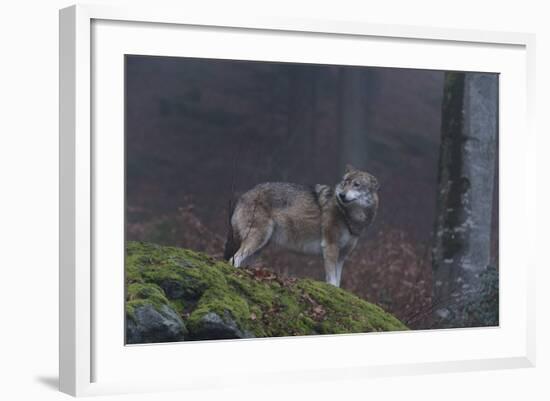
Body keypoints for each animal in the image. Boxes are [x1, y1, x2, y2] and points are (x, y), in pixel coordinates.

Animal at [224, 164, 380, 286]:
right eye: (345, 183)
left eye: (356, 185)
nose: (341, 195)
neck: (348, 215)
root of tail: (243, 196)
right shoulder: (330, 247)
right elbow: (332, 281)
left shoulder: (342, 256)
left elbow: (338, 281)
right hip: (257, 240)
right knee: (234, 259)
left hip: (260, 247)